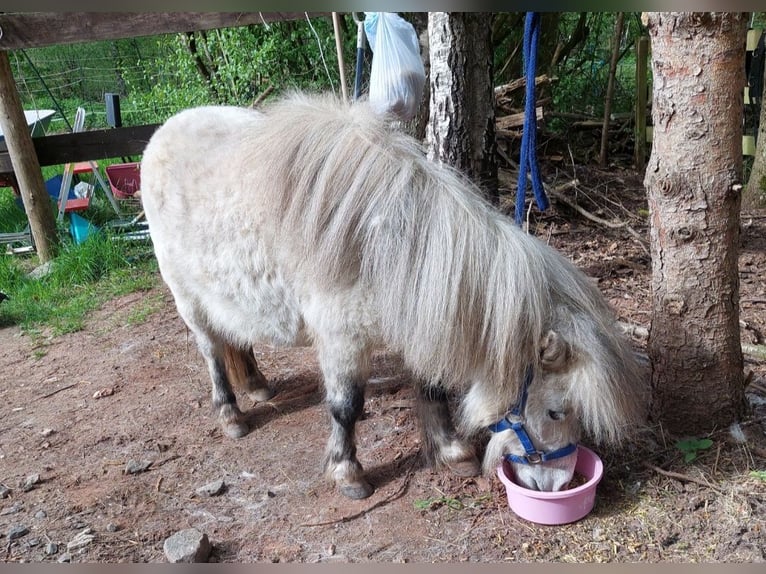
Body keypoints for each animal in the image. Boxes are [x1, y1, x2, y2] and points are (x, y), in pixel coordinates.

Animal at [142, 93, 648, 500]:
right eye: (556, 410)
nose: (558, 485)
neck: (384, 240)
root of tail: (164, 132)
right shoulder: (340, 337)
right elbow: (343, 407)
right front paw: (348, 473)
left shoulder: (421, 314)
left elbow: (432, 385)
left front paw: (453, 452)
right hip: (187, 298)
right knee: (211, 349)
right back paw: (231, 414)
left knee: (234, 335)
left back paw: (257, 384)